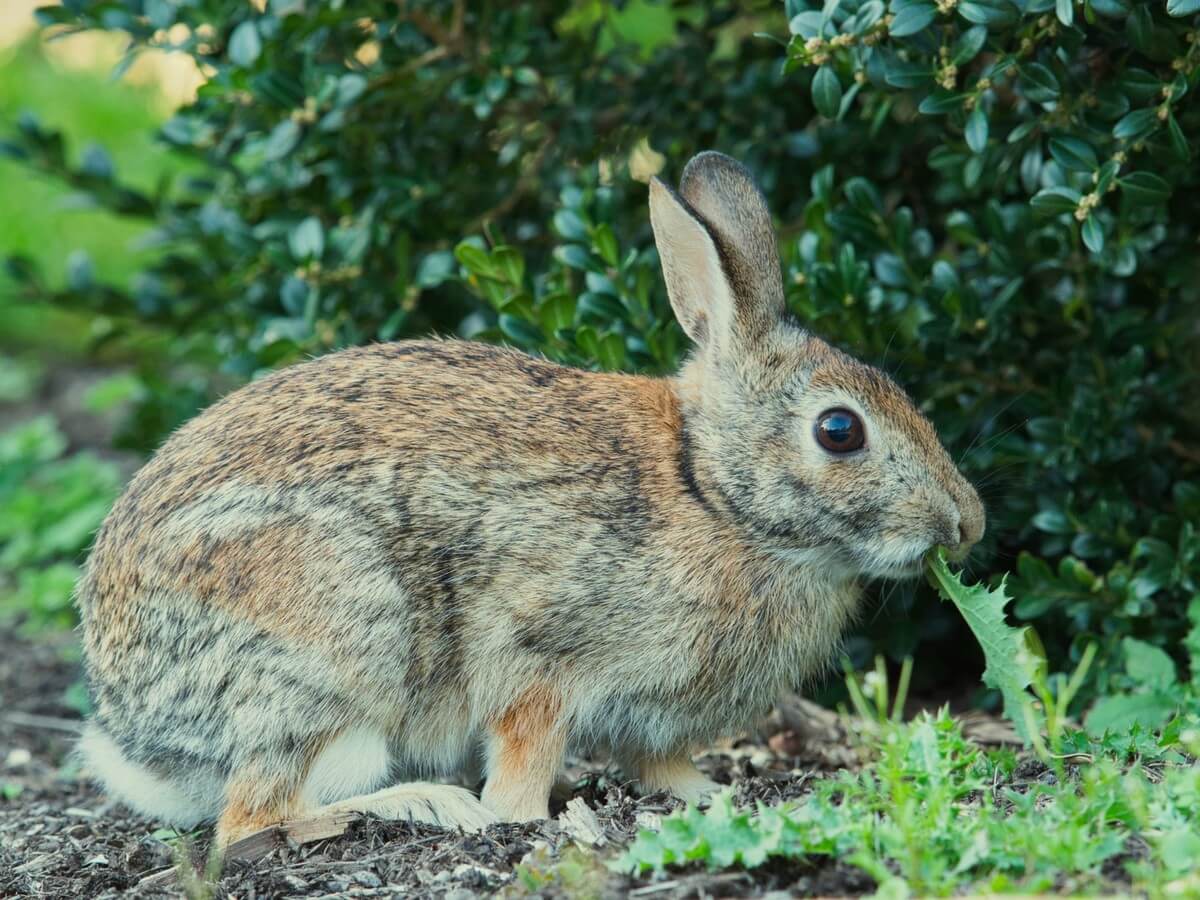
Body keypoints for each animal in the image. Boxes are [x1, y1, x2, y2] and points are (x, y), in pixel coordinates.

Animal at [76, 151, 985, 847]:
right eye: (839, 431)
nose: (966, 523)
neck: (711, 491)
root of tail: (131, 723)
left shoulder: (645, 718)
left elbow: (660, 764)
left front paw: (707, 796)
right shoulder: (539, 660)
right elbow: (523, 753)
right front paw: (519, 818)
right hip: (333, 640)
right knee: (256, 816)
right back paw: (426, 803)